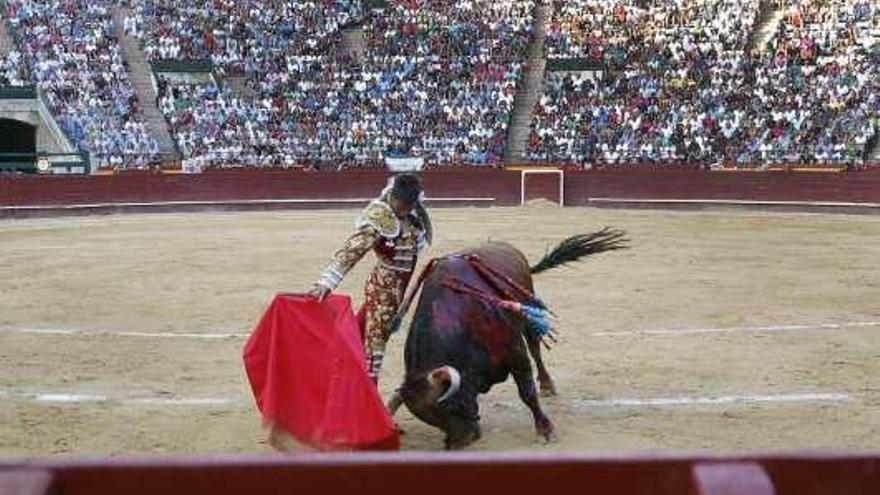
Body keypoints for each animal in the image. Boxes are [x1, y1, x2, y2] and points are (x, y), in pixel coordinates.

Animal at [388, 231, 628, 452]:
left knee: (536, 351)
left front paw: (546, 430)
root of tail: (512, 250)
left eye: (447, 406)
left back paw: (548, 386)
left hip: (528, 313)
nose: (456, 443)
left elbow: (527, 393)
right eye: (429, 418)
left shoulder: (516, 354)